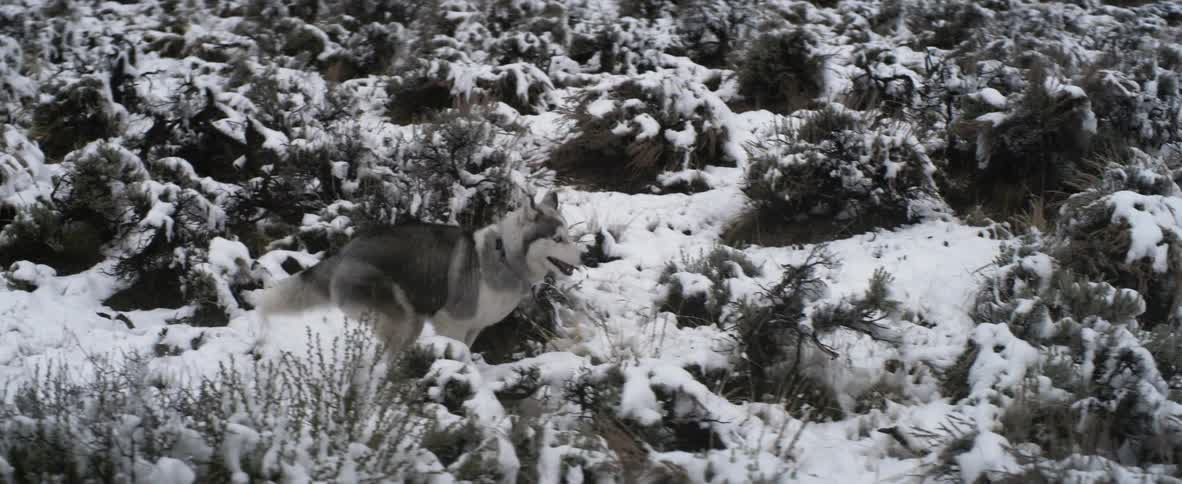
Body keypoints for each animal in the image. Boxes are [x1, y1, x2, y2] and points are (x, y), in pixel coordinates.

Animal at [255, 191, 581, 357]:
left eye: (568, 235)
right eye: (558, 239)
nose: (584, 256)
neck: (505, 257)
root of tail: (346, 252)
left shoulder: (474, 329)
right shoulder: (452, 323)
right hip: (403, 322)